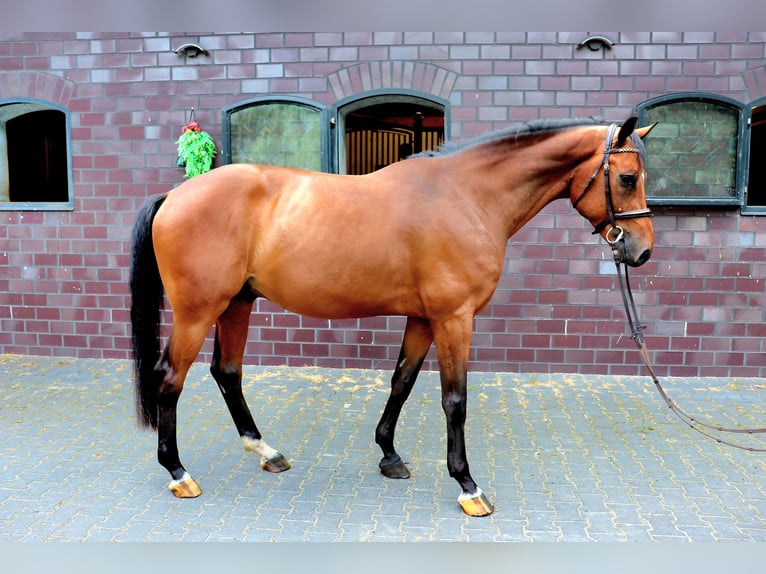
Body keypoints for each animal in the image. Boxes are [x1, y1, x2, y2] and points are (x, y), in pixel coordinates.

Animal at [129, 116, 655, 516]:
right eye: (627, 178)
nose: (642, 251)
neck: (467, 197)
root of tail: (173, 197)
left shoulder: (424, 319)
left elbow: (401, 382)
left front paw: (389, 455)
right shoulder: (454, 318)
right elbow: (455, 400)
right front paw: (468, 486)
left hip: (237, 304)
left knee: (227, 373)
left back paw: (267, 452)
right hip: (198, 311)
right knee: (170, 378)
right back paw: (178, 473)